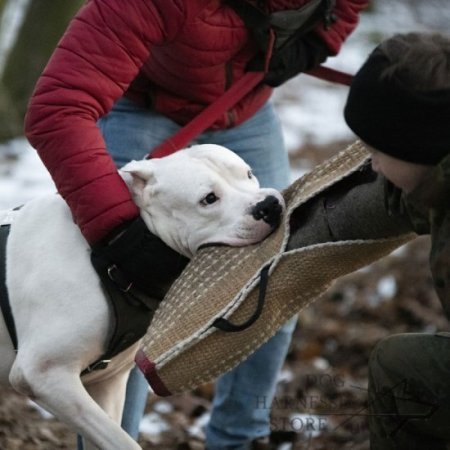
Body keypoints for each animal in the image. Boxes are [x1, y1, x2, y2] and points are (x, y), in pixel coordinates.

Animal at [0, 145, 284, 450]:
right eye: (208, 199)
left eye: (248, 173)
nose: (269, 204)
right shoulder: (41, 374)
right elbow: (123, 441)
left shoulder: (105, 383)